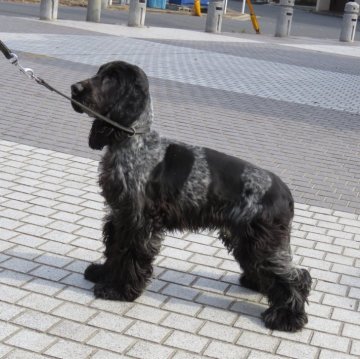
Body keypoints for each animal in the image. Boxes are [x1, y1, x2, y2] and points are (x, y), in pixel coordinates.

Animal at [71, 60, 312, 334]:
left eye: (111, 78)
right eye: (99, 73)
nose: (74, 88)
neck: (133, 142)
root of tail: (285, 192)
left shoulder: (138, 222)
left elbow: (129, 255)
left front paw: (118, 290)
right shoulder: (118, 215)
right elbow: (113, 248)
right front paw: (102, 273)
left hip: (263, 241)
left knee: (295, 277)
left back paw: (286, 317)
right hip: (246, 239)